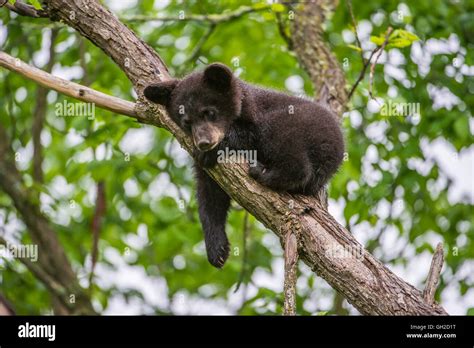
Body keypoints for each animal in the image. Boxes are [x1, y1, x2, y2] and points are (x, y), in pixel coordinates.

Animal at [143, 62, 342, 270]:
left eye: (209, 112)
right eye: (187, 122)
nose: (204, 142)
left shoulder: (254, 111)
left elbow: (248, 134)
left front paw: (216, 148)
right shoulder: (207, 171)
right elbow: (210, 195)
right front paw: (217, 249)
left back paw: (263, 172)